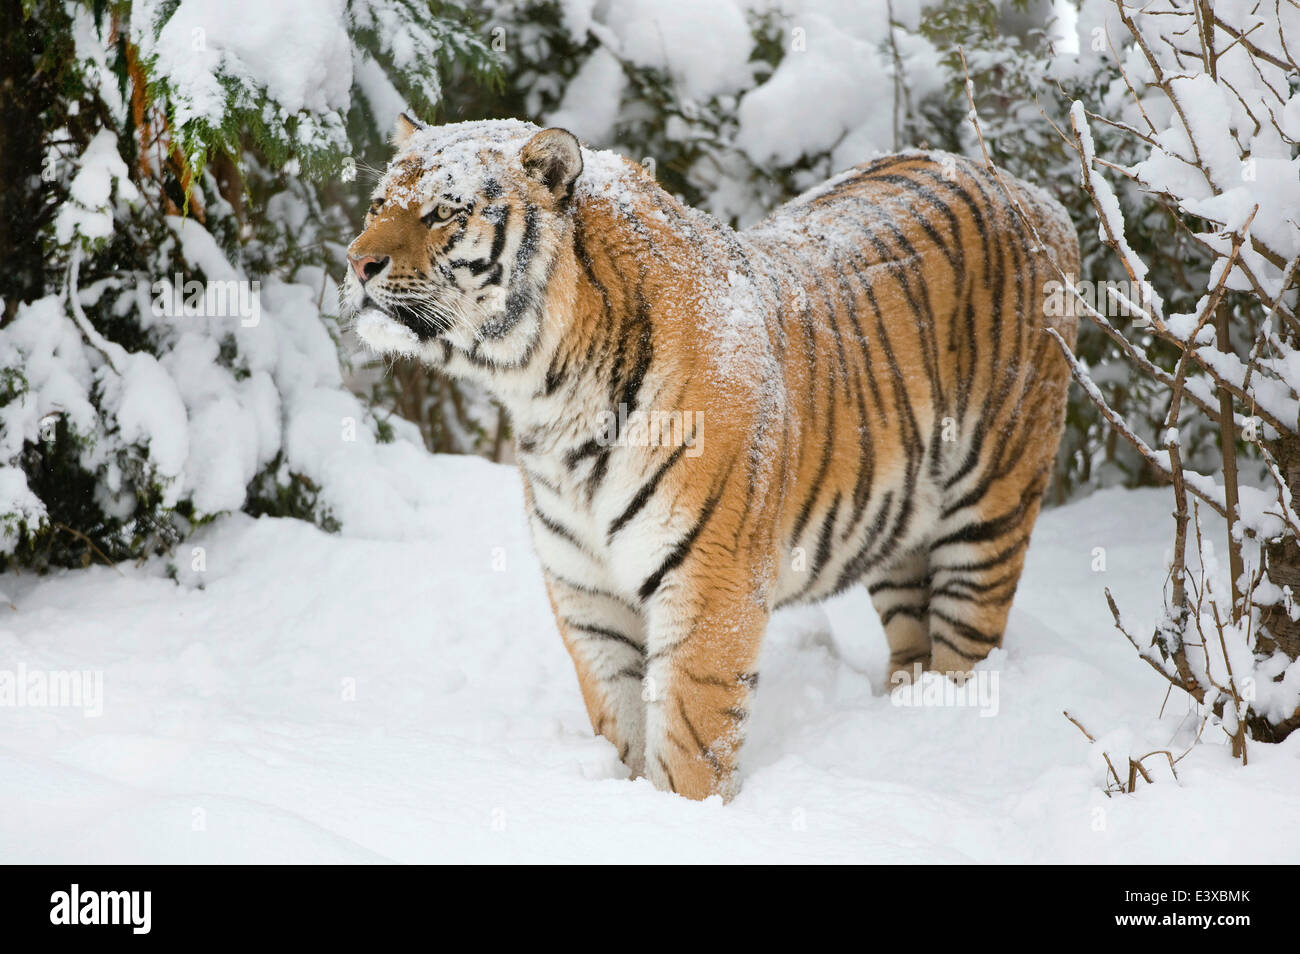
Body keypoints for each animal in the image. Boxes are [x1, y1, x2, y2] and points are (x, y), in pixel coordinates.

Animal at [343, 115, 1079, 801]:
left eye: (444, 212)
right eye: (378, 204)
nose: (355, 263)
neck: (550, 401)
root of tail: (1033, 194)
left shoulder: (709, 582)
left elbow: (690, 740)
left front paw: (682, 818)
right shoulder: (585, 592)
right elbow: (620, 721)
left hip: (991, 509)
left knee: (968, 647)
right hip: (898, 529)